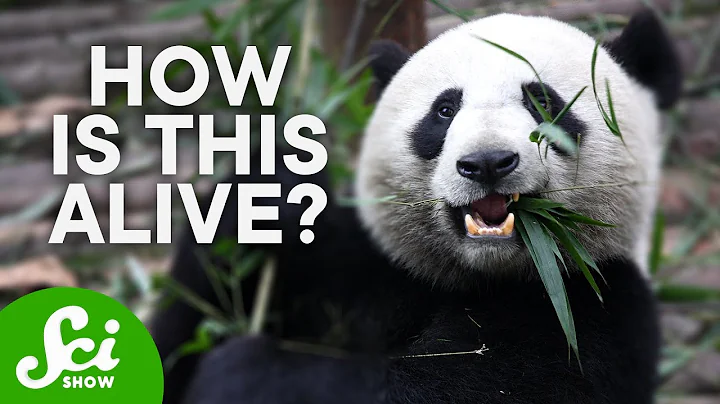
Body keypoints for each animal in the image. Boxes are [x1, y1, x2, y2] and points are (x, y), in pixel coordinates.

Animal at [151, 9, 682, 404]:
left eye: (544, 104)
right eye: (444, 110)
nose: (486, 162)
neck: (480, 276)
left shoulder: (592, 309)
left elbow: (467, 385)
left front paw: (247, 371)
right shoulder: (367, 263)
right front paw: (271, 189)